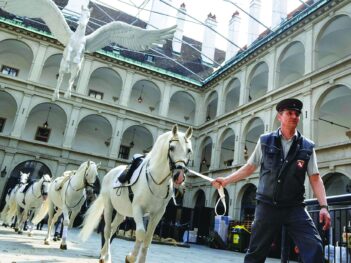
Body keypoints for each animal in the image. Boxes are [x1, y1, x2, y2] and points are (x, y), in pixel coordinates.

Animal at [80, 126, 192, 263]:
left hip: (121, 212)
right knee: (106, 230)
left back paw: (104, 255)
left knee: (112, 228)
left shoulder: (158, 214)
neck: (156, 180)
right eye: (172, 148)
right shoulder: (138, 208)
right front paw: (131, 257)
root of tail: (110, 173)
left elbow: (148, 238)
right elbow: (140, 233)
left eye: (189, 150)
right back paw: (105, 257)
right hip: (108, 206)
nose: (179, 176)